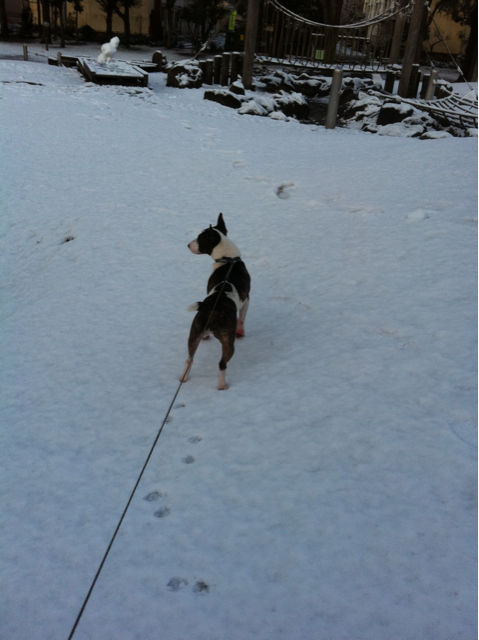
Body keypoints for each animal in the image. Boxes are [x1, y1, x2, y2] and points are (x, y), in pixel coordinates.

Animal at [180, 213, 250, 390]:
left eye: (200, 239)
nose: (187, 245)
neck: (228, 259)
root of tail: (210, 309)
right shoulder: (247, 299)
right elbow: (242, 318)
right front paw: (241, 332)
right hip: (227, 341)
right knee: (222, 363)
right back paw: (222, 385)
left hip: (194, 334)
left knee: (189, 359)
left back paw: (183, 378)